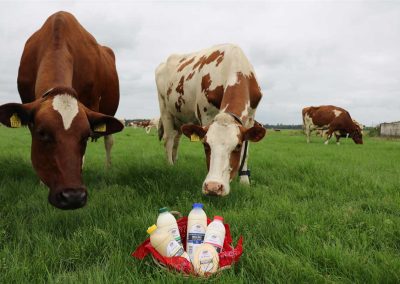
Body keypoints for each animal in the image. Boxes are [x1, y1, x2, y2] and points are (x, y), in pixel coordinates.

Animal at [155, 43, 266, 195]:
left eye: (237, 146)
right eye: (206, 144)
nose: (214, 186)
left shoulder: (250, 118)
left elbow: (246, 151)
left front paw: (244, 182)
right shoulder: (206, 115)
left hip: (180, 117)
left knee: (176, 139)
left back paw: (175, 161)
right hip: (165, 109)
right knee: (169, 139)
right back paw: (170, 165)